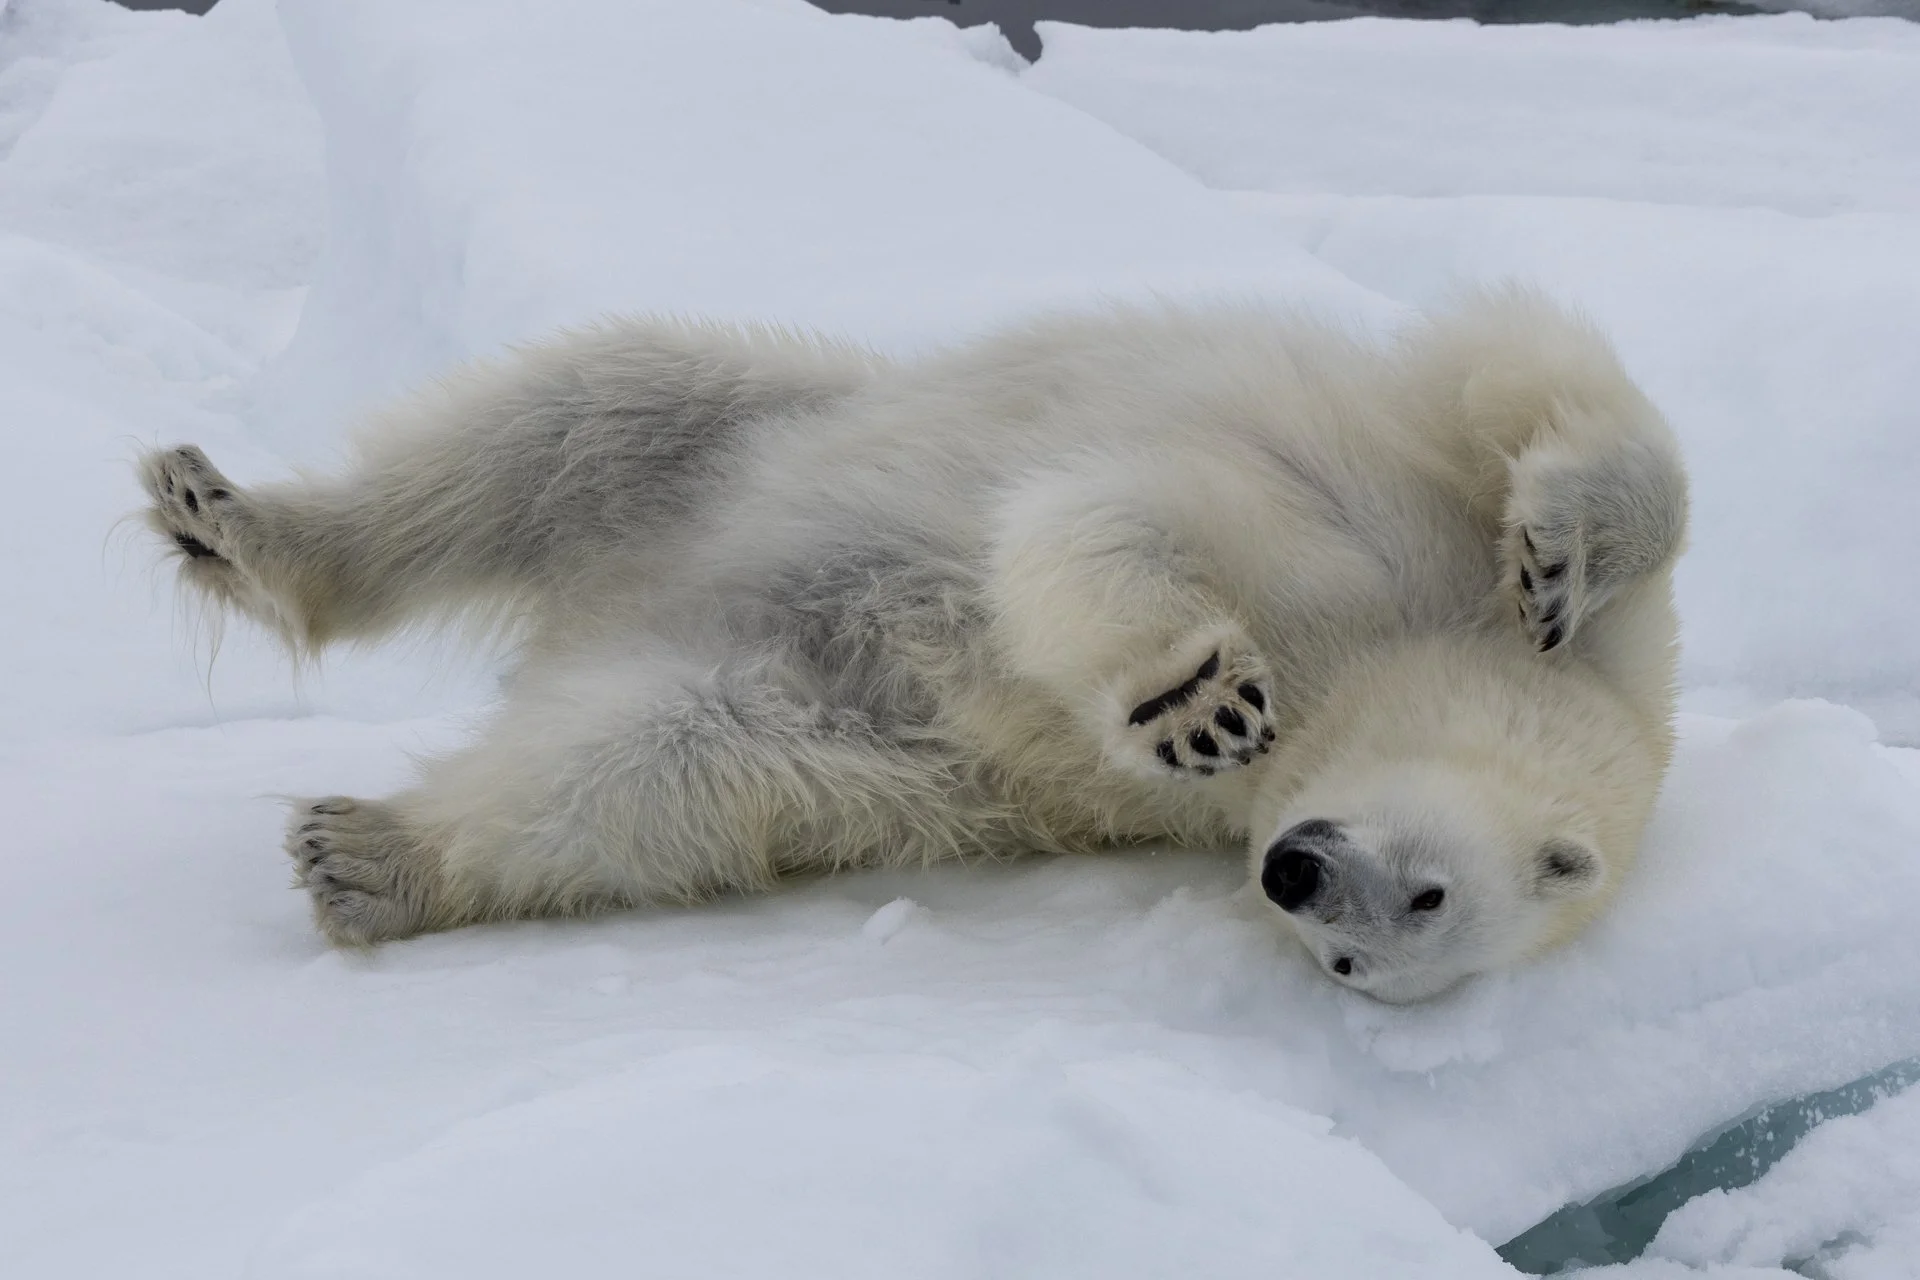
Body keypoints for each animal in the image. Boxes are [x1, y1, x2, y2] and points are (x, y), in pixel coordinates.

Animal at [138, 286, 1687, 1003]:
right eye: (1426, 895)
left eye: (1364, 964)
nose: (1298, 879)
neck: (1396, 667)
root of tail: (613, 600)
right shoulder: (1409, 524)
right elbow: (1547, 391)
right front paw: (1198, 691)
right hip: (752, 433)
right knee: (582, 408)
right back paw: (243, 523)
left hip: (808, 709)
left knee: (647, 757)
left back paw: (368, 853)